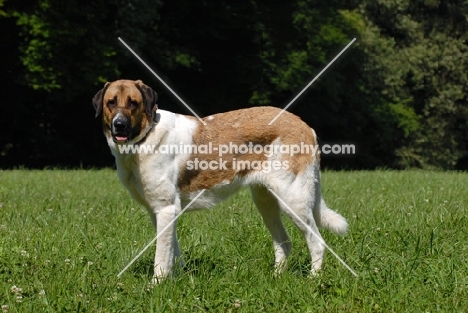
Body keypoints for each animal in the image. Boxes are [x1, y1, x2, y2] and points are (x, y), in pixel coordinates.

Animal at [92, 79, 348, 282]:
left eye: (133, 103)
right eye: (111, 103)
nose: (119, 125)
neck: (143, 139)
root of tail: (305, 126)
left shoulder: (165, 209)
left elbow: (162, 257)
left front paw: (157, 286)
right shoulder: (161, 212)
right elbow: (173, 251)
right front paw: (180, 278)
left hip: (293, 201)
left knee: (317, 242)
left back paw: (313, 280)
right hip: (266, 202)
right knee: (284, 243)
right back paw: (276, 279)